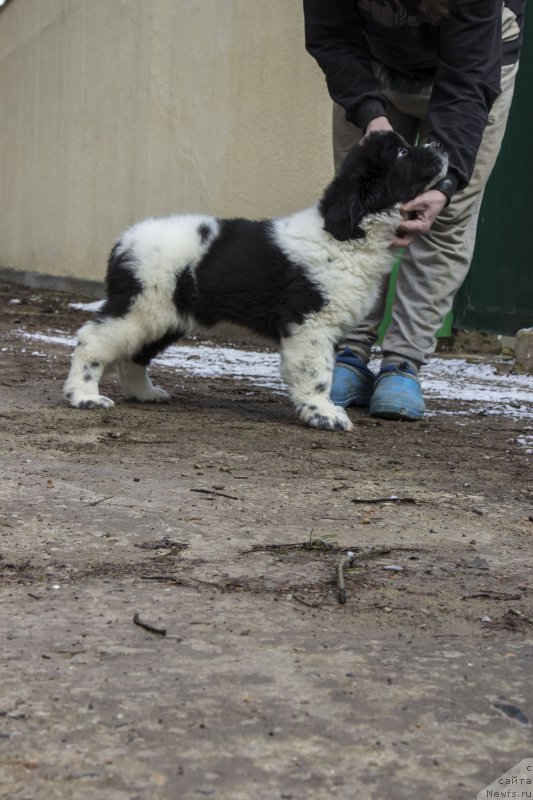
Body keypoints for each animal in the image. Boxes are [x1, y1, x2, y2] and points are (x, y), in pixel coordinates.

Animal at [63, 131, 444, 432]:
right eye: (402, 153)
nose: (439, 146)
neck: (348, 234)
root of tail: (123, 242)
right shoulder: (310, 323)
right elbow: (319, 372)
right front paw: (324, 415)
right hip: (141, 307)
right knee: (93, 340)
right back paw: (84, 396)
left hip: (164, 316)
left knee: (135, 355)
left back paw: (144, 393)